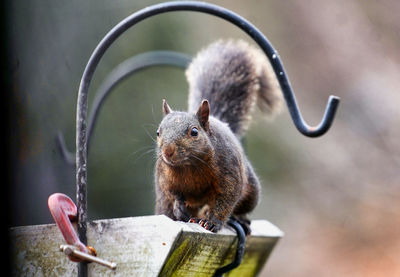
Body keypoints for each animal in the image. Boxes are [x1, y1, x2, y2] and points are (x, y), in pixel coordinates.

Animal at [153, 38, 282, 233]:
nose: (168, 151)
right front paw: (178, 207)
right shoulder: (165, 177)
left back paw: (238, 219)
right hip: (162, 203)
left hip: (252, 192)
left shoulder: (230, 173)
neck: (189, 166)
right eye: (158, 132)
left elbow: (226, 200)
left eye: (194, 132)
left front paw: (212, 222)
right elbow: (172, 193)